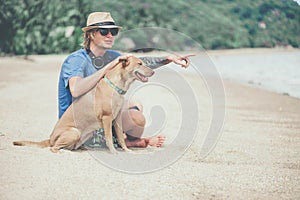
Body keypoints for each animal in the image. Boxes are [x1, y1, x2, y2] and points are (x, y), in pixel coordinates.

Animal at [13, 55, 155, 154]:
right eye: (139, 64)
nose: (153, 72)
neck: (116, 86)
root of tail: (50, 138)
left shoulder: (117, 118)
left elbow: (120, 137)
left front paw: (126, 150)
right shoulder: (107, 118)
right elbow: (109, 138)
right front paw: (114, 152)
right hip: (74, 132)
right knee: (54, 148)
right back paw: (63, 151)